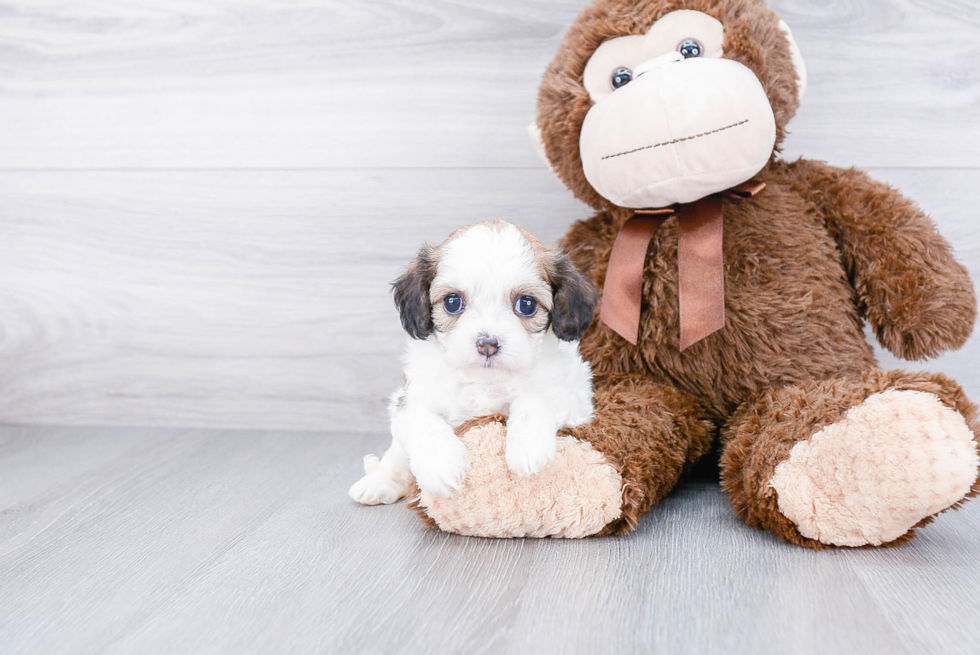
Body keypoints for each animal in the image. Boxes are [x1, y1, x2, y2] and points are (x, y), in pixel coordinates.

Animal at [350, 222, 596, 508]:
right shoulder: (411, 399)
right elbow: (424, 421)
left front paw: (528, 445)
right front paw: (440, 466)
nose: (487, 344)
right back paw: (379, 483)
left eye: (526, 304)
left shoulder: (573, 396)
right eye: (452, 302)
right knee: (396, 460)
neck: (484, 380)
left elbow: (533, 399)